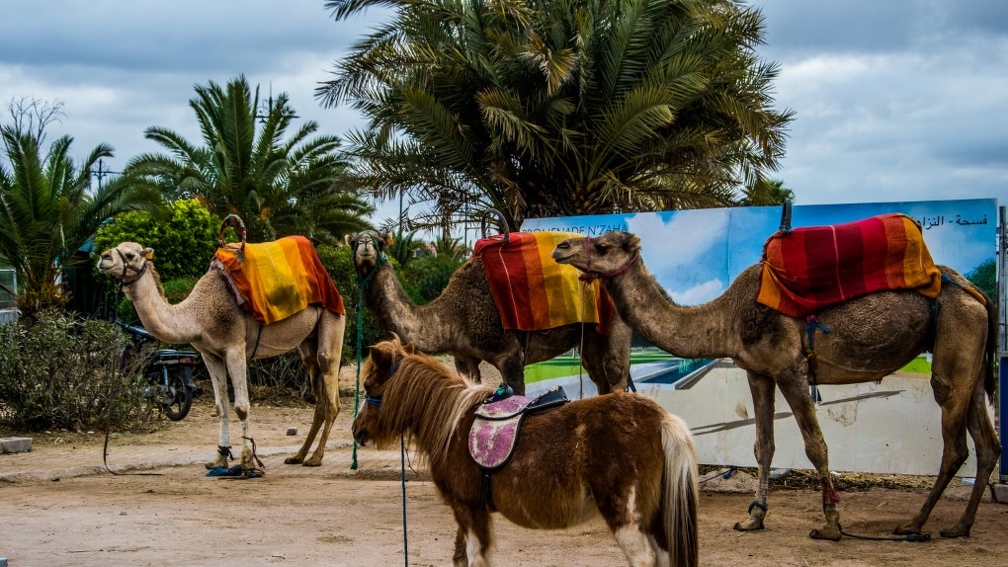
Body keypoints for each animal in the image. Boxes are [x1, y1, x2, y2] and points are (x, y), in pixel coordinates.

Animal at [97, 243, 346, 468]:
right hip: (307, 345)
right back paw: (298, 456)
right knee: (318, 396)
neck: (198, 315)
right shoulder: (209, 354)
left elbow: (241, 406)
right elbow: (220, 406)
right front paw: (220, 459)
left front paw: (246, 461)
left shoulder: (235, 348)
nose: (103, 257)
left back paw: (315, 458)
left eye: (130, 254)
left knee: (331, 392)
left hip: (332, 321)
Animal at [346, 228, 628, 393]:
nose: (365, 246)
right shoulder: (463, 357)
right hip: (590, 334)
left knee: (615, 373)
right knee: (599, 376)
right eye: (353, 242)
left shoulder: (508, 354)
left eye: (380, 242)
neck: (456, 312)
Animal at [350, 334, 697, 564]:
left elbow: (474, 558)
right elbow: (461, 558)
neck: (452, 422)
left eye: (367, 386)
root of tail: (659, 417)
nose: (356, 430)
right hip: (655, 519)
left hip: (626, 517)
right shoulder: (467, 513)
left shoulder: (467, 508)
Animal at [552, 228, 999, 536]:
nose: (561, 248)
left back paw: (915, 524)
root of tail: (976, 292)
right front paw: (753, 518)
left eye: (603, 246)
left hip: (954, 342)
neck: (729, 317)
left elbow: (815, 445)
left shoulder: (790, 369)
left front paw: (832, 524)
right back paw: (959, 525)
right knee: (987, 443)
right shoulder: (758, 371)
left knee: (956, 443)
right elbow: (762, 444)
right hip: (972, 359)